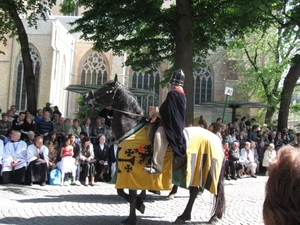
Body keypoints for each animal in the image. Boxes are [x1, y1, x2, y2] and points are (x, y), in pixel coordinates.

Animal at [83, 75, 224, 225]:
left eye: (107, 88)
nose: (86, 96)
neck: (131, 128)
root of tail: (216, 138)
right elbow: (122, 192)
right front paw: (139, 206)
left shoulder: (131, 170)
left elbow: (131, 194)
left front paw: (132, 216)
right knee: (194, 192)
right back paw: (185, 216)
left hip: (206, 169)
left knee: (213, 191)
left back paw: (211, 217)